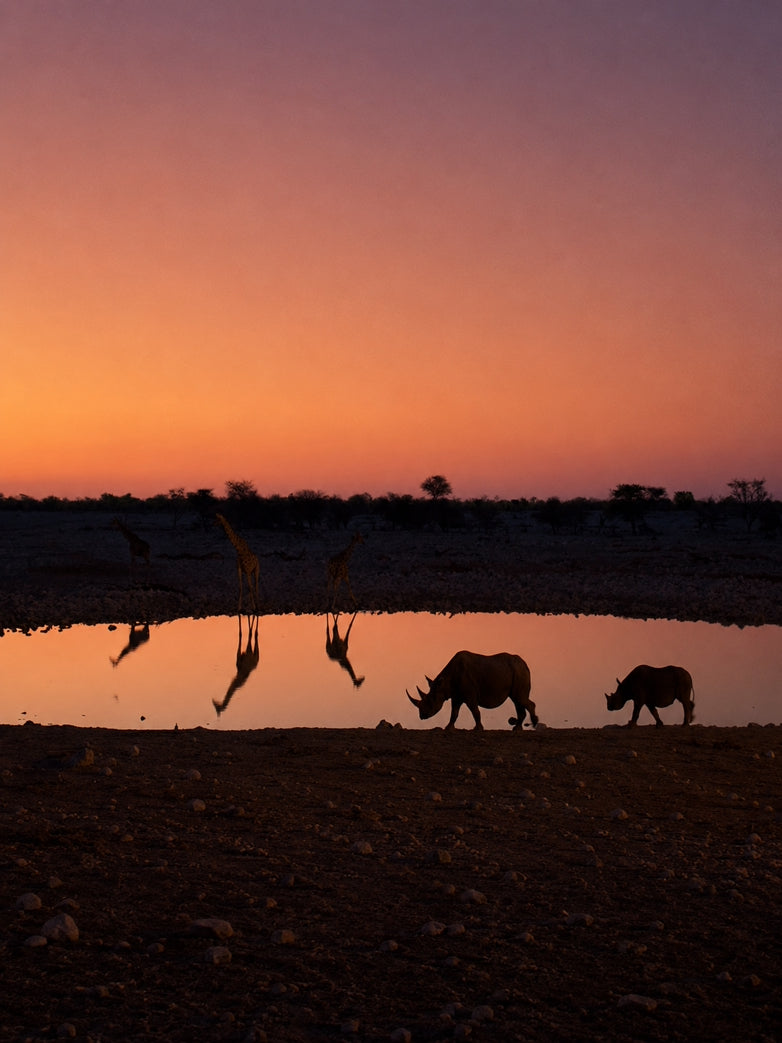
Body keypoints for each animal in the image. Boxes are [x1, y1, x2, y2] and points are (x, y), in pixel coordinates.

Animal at [407, 650, 538, 731]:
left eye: (431, 701)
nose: (422, 716)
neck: (444, 683)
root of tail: (525, 664)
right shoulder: (456, 695)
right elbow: (454, 713)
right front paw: (448, 728)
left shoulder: (470, 695)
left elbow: (475, 711)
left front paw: (478, 729)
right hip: (516, 671)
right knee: (517, 700)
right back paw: (517, 729)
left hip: (519, 671)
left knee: (519, 698)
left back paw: (534, 723)